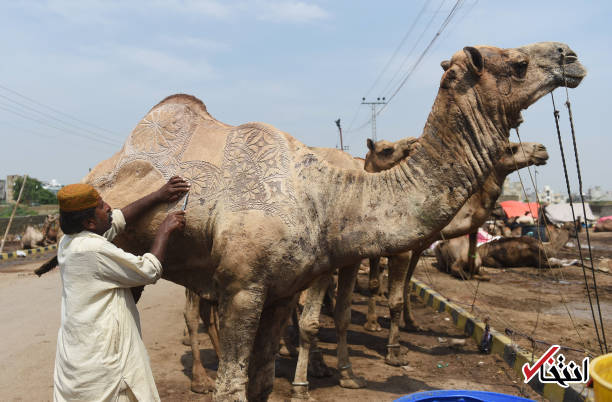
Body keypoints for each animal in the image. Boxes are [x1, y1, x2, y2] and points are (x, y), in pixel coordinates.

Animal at [364, 139, 548, 368]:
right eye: (511, 148)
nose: (542, 149)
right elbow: (377, 281)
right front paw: (374, 327)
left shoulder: (417, 247)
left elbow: (406, 286)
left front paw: (412, 324)